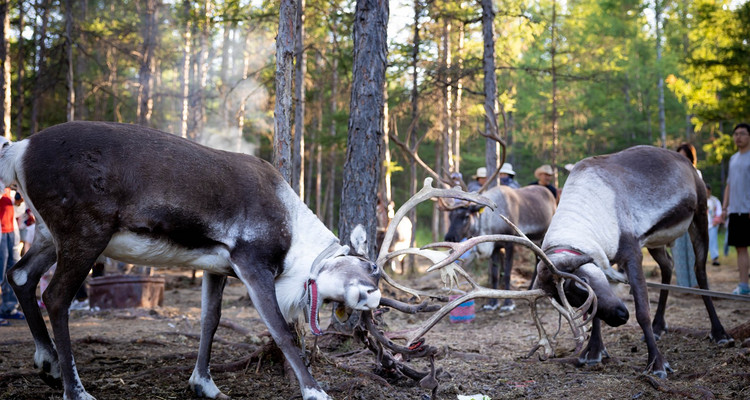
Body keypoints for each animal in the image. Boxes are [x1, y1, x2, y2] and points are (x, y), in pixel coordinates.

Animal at [1, 121, 382, 400]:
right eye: (370, 267)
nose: (372, 296)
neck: (295, 242)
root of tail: (19, 149)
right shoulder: (253, 263)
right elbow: (282, 331)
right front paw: (315, 391)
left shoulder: (218, 267)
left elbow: (209, 320)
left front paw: (205, 385)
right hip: (84, 234)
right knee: (55, 296)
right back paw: (76, 390)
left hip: (49, 235)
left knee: (19, 275)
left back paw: (48, 364)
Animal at [531, 145, 733, 378]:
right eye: (568, 298)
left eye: (583, 281)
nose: (619, 316)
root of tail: (688, 162)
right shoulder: (606, 257)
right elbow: (595, 313)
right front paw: (593, 351)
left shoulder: (631, 252)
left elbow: (642, 311)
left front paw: (657, 363)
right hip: (655, 240)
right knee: (668, 265)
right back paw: (658, 327)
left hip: (699, 215)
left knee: (699, 270)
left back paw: (719, 333)